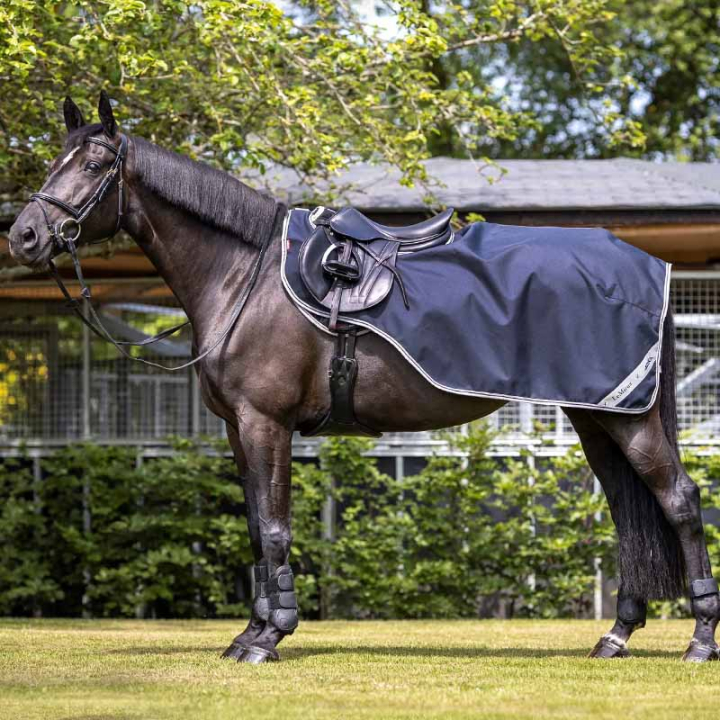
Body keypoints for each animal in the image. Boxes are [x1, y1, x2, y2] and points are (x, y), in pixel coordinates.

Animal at [8, 92, 719, 664]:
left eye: (93, 166)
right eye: (53, 161)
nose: (24, 236)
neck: (246, 277)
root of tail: (645, 264)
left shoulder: (266, 423)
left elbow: (275, 527)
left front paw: (270, 639)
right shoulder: (239, 430)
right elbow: (256, 527)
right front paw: (249, 633)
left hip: (627, 420)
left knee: (679, 501)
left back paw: (699, 641)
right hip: (597, 418)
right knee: (628, 510)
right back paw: (615, 637)